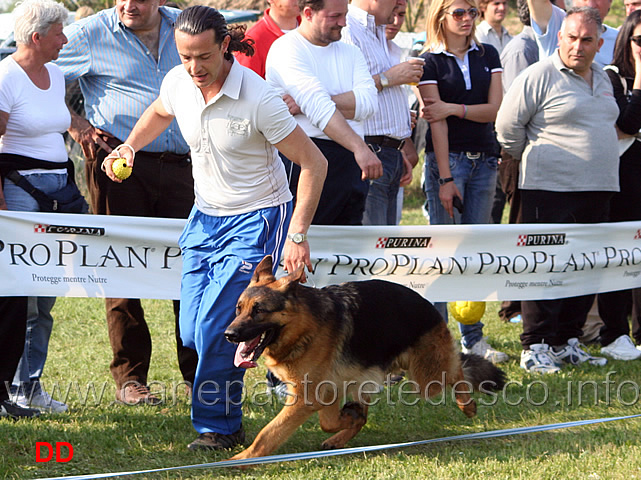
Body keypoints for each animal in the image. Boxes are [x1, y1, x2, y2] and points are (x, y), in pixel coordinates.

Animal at [225, 256, 504, 460]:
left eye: (259, 311)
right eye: (239, 309)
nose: (229, 334)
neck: (302, 327)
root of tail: (426, 303)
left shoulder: (306, 398)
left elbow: (268, 433)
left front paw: (241, 460)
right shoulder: (328, 391)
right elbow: (328, 421)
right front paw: (348, 418)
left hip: (426, 379)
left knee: (458, 370)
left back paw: (467, 404)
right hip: (367, 377)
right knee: (365, 411)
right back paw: (343, 432)